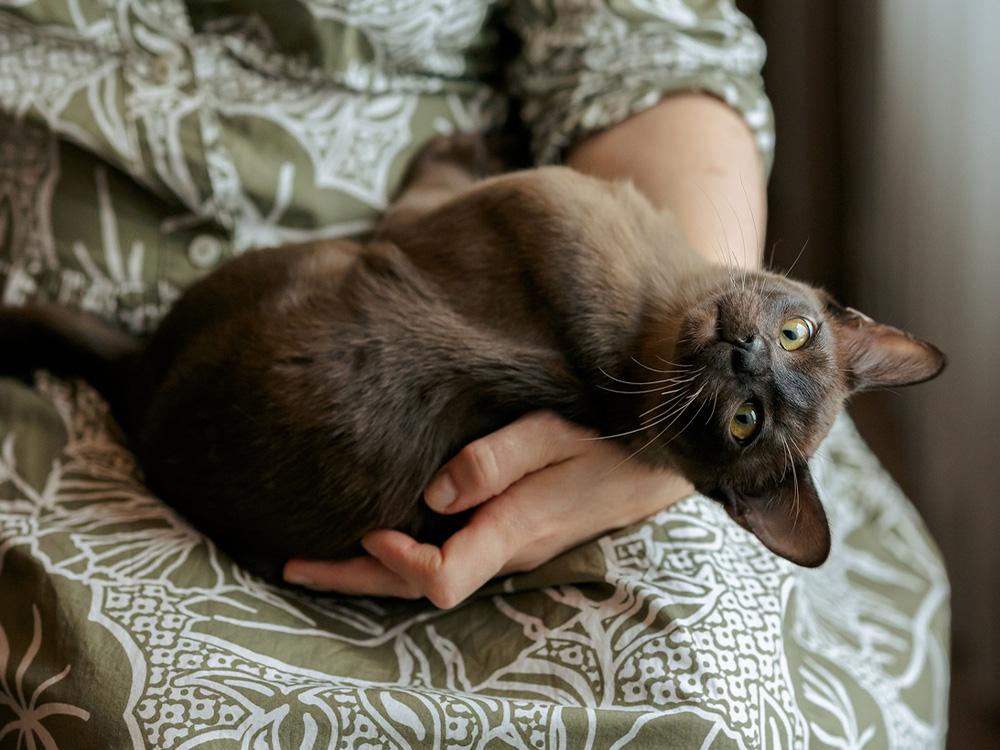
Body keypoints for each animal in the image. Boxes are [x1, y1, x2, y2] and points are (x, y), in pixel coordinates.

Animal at [0, 137, 944, 580]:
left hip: (315, 261)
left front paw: (457, 141)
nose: (746, 353)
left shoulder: (427, 218)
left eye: (746, 423)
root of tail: (137, 386)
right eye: (797, 335)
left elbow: (436, 175)